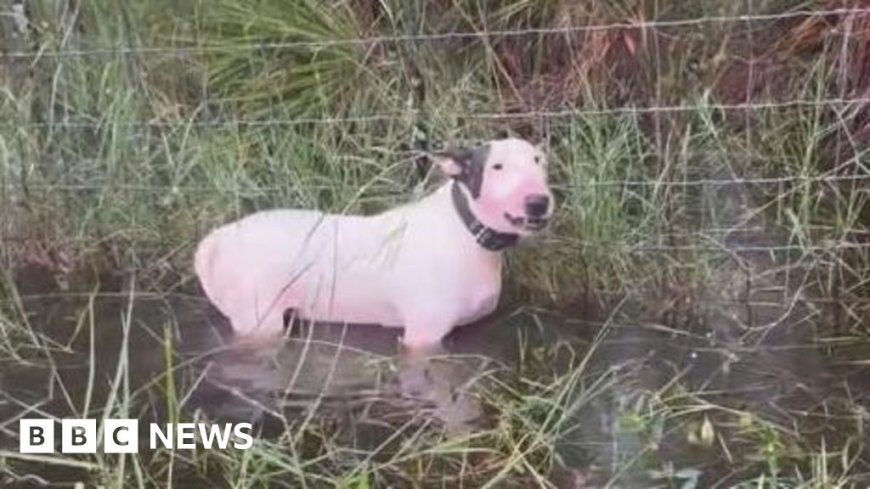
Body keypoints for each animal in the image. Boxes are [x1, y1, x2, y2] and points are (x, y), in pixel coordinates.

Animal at [194, 138, 556, 350]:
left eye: (538, 161)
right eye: (496, 166)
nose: (538, 202)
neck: (466, 231)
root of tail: (217, 238)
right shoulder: (422, 336)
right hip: (258, 320)